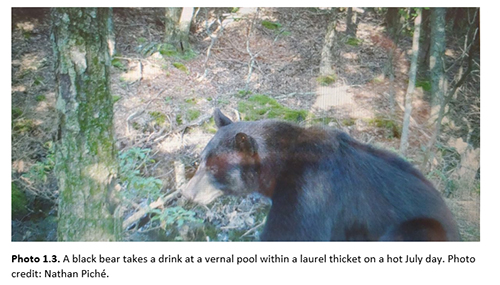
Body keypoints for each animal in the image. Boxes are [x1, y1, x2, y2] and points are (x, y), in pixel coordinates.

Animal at [182, 108, 458, 240]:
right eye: (201, 161)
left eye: (214, 168)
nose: (187, 193)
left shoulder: (310, 192)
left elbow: (292, 234)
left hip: (421, 227)